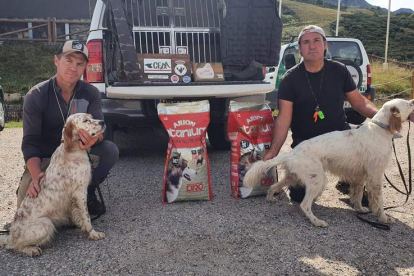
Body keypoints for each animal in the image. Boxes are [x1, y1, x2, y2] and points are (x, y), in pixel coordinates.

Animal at [0, 112, 106, 256]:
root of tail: (10, 234)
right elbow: (86, 216)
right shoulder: (80, 192)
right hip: (45, 223)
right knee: (14, 245)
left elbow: (79, 215)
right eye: (85, 120)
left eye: (92, 116)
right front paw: (93, 233)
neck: (72, 150)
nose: (103, 122)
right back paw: (31, 249)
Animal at [243, 98, 414, 226]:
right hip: (318, 179)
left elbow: (358, 195)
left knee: (274, 186)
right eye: (408, 104)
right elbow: (379, 201)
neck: (379, 130)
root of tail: (292, 153)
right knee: (305, 204)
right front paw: (384, 218)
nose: (413, 100)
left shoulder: (360, 177)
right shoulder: (376, 176)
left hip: (293, 177)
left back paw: (271, 198)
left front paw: (360, 209)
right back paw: (317, 222)